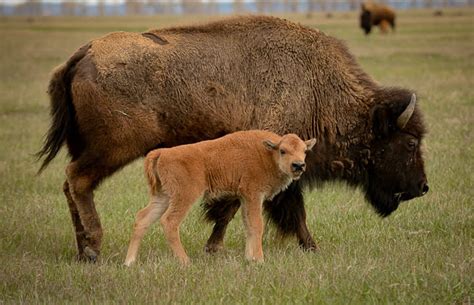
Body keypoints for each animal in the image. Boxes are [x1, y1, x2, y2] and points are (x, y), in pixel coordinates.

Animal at [125, 129, 314, 264]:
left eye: (305, 151)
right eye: (283, 151)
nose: (298, 165)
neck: (267, 153)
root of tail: (162, 153)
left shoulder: (244, 198)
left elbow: (248, 225)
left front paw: (249, 258)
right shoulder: (254, 195)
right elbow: (256, 225)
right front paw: (259, 260)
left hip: (163, 196)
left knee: (142, 218)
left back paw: (129, 262)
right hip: (184, 196)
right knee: (169, 221)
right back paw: (186, 262)